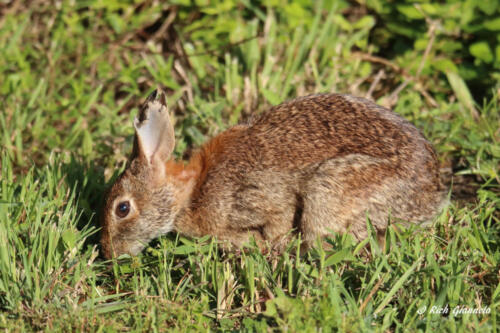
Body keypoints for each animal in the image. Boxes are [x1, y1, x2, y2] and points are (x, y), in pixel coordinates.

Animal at [99, 89, 448, 258]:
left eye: (122, 208)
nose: (109, 254)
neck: (190, 193)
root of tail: (432, 197)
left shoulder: (256, 198)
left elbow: (278, 217)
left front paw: (268, 244)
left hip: (330, 188)